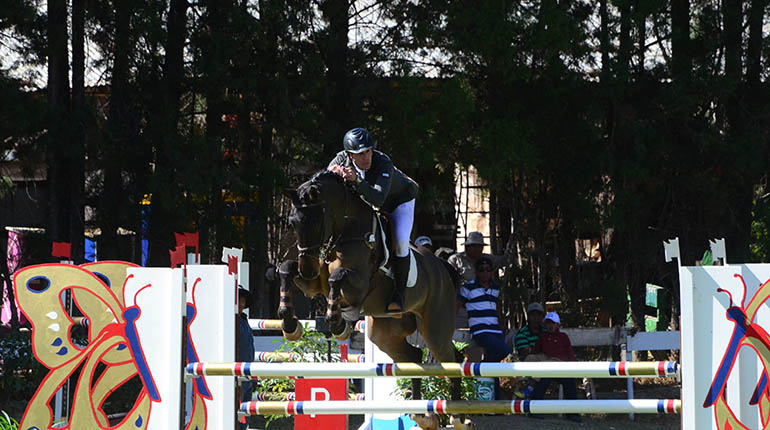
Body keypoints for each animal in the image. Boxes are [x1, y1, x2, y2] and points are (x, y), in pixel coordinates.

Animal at [280, 169, 462, 402]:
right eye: (292, 223)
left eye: (316, 221)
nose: (307, 269)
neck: (346, 233)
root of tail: (443, 268)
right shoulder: (313, 284)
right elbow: (286, 268)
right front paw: (289, 323)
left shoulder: (356, 287)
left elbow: (336, 277)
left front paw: (337, 324)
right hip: (384, 333)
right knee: (414, 356)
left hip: (435, 331)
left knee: (454, 360)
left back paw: (458, 408)